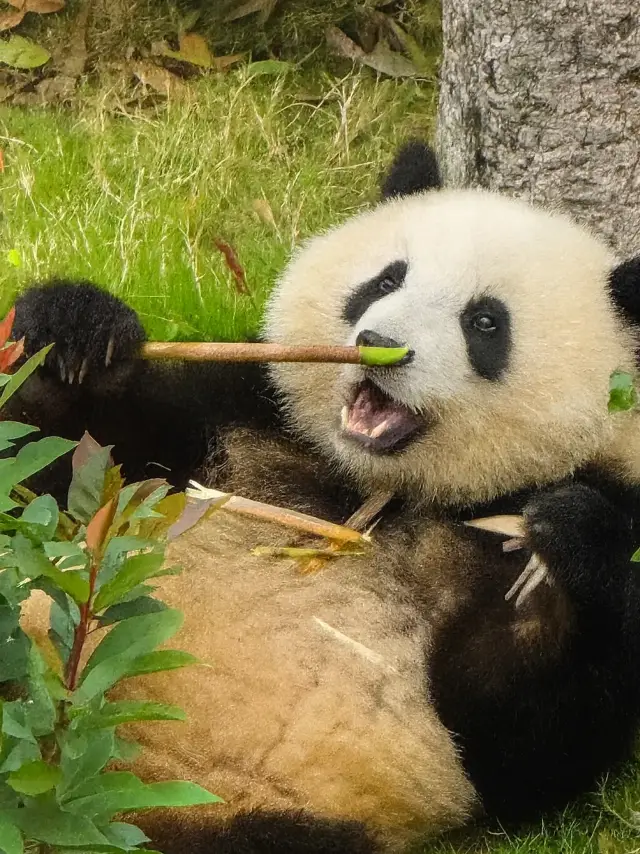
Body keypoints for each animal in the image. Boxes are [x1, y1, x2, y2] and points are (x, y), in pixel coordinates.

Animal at [8, 141, 640, 854]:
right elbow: (62, 468)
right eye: (386, 280)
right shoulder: (239, 418)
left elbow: (528, 745)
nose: (378, 345)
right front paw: (73, 333)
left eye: (485, 322)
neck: (368, 488)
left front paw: (563, 547)